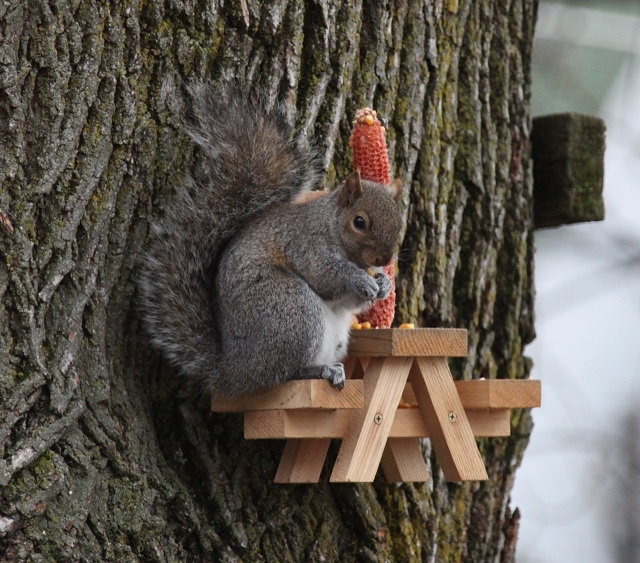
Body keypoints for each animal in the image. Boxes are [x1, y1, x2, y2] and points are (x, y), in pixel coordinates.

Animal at [139, 82, 400, 396]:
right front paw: (362, 280)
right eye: (359, 222)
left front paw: (383, 284)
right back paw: (320, 370)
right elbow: (327, 275)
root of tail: (235, 372)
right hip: (291, 310)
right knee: (284, 374)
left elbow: (352, 303)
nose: (384, 259)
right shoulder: (305, 244)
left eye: (399, 220)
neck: (331, 226)